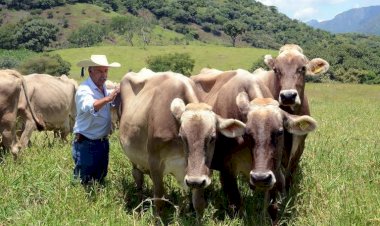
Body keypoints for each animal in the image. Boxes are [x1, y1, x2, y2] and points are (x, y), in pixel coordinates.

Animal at [117, 71, 245, 219]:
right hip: (133, 157)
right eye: (182, 137)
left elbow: (199, 203)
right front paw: (159, 220)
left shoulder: (196, 173)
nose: (195, 181)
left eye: (213, 138)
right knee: (137, 176)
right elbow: (159, 199)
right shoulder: (154, 163)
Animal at [190, 70, 318, 224]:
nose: (260, 177)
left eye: (280, 132)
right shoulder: (227, 170)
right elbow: (236, 202)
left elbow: (272, 206)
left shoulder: (273, 169)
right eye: (247, 133)